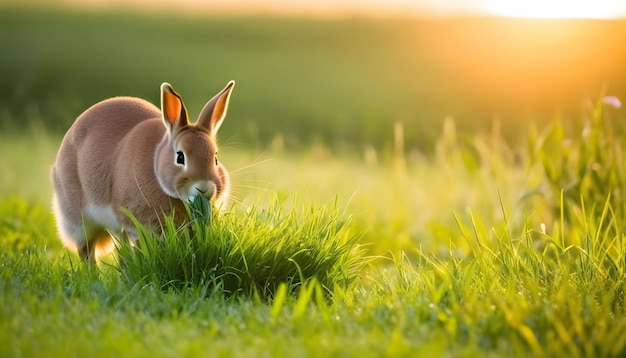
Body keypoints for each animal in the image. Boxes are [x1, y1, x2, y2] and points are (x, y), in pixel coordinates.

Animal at [51, 80, 234, 262]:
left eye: (215, 158)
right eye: (180, 157)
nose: (203, 187)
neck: (156, 165)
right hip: (77, 220)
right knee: (87, 250)